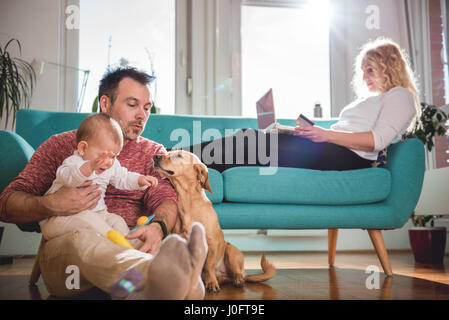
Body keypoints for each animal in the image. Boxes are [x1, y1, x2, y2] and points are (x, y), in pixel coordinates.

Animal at [152, 150, 274, 292]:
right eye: (168, 152)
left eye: (178, 155)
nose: (155, 156)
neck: (187, 202)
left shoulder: (212, 243)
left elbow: (209, 266)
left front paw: (211, 282)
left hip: (231, 251)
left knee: (237, 272)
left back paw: (236, 280)